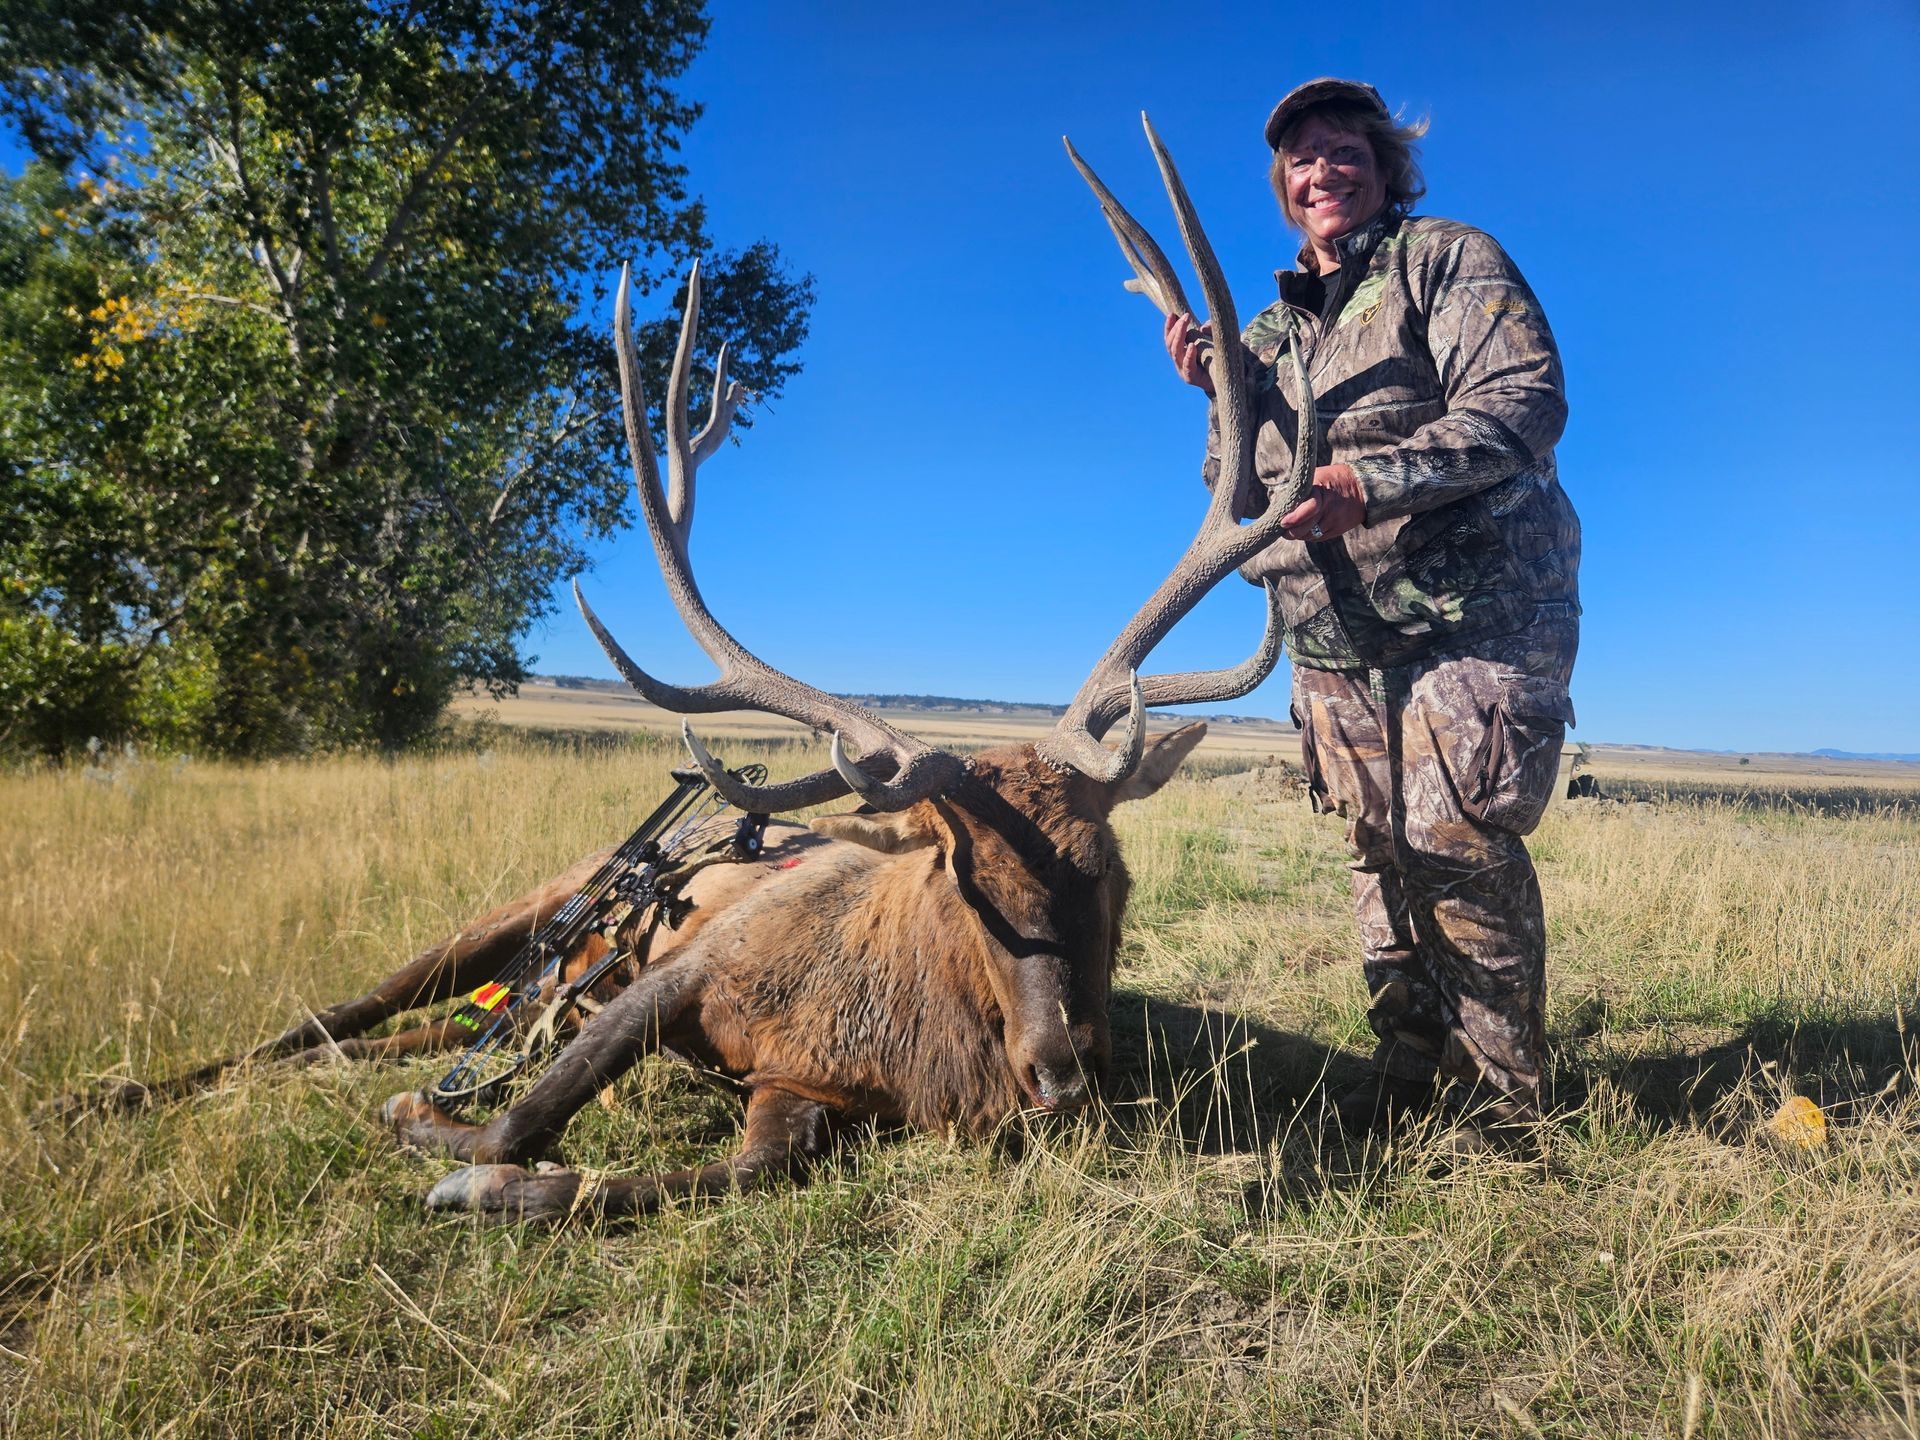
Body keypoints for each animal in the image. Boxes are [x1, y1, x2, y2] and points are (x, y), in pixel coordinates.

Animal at [41, 117, 1318, 1224]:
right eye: (964, 882)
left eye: (1111, 875)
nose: (1066, 1072)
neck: (908, 1037)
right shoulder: (691, 967)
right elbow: (513, 1122)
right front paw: (436, 1143)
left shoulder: (802, 1088)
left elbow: (733, 1169)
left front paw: (505, 1176)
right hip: (522, 907)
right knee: (336, 1011)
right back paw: (103, 1092)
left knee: (418, 1029)